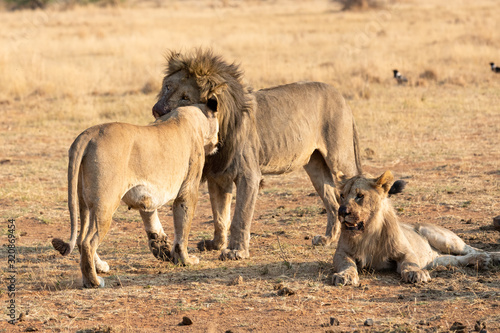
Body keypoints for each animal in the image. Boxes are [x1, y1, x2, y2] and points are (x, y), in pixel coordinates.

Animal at [51, 101, 220, 288]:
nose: (218, 143)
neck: (195, 118)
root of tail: (88, 134)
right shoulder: (188, 190)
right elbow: (183, 228)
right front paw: (186, 261)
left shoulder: (147, 197)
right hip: (105, 204)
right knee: (88, 242)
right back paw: (94, 281)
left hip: (84, 204)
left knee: (81, 238)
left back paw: (100, 268)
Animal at [150, 48, 362, 260]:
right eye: (167, 87)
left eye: (185, 98)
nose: (157, 110)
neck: (220, 126)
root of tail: (341, 97)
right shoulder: (218, 176)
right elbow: (220, 215)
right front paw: (216, 244)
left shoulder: (248, 175)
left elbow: (240, 217)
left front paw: (236, 251)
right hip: (315, 165)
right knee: (332, 202)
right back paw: (327, 239)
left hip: (340, 159)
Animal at [330, 171, 498, 286]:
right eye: (342, 196)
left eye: (360, 196)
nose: (342, 212)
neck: (367, 233)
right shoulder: (341, 252)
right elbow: (347, 263)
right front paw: (344, 275)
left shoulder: (405, 251)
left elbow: (410, 263)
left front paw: (416, 273)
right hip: (436, 260)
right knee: (456, 259)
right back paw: (480, 261)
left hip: (437, 235)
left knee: (472, 249)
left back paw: (489, 257)